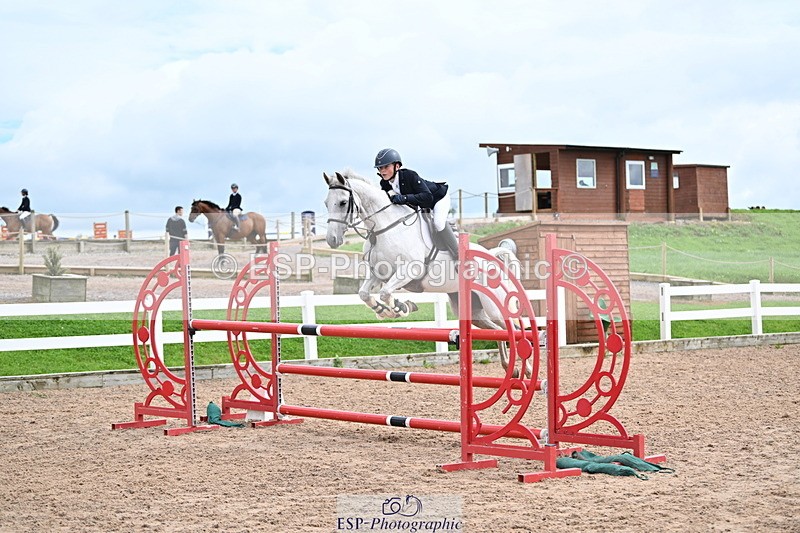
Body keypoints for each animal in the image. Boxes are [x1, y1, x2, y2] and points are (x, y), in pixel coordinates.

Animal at [323, 170, 532, 376]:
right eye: (326, 203)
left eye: (343, 202)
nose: (332, 240)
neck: (384, 229)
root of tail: (494, 257)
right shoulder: (378, 273)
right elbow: (364, 294)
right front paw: (384, 311)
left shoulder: (409, 270)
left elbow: (385, 292)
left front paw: (401, 308)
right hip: (473, 310)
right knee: (498, 330)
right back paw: (509, 367)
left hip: (494, 305)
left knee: (513, 328)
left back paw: (527, 369)